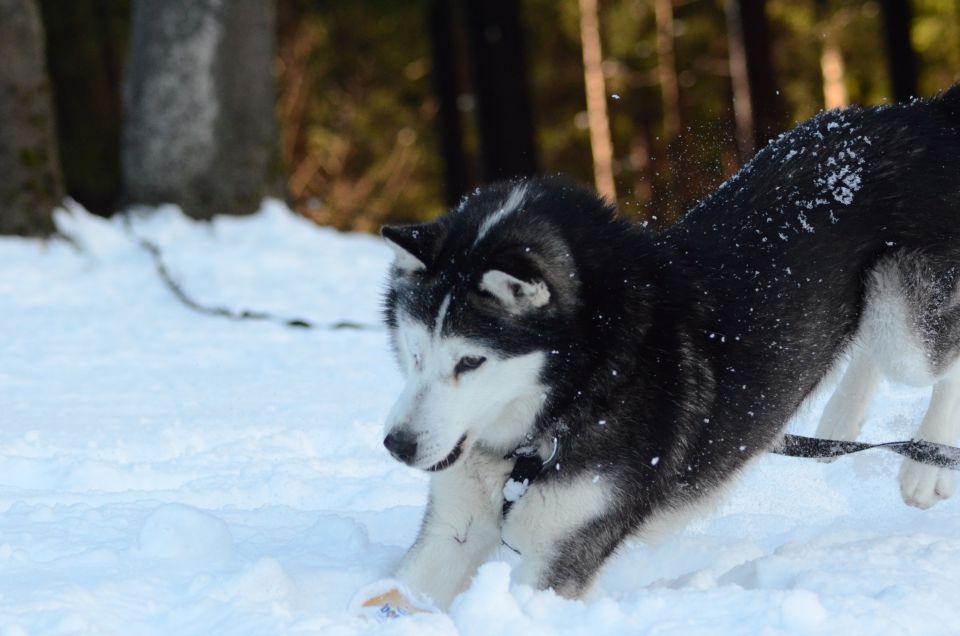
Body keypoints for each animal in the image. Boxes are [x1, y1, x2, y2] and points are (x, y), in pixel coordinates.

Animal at [376, 87, 960, 608]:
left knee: (938, 358)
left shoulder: (564, 547)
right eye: (414, 353)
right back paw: (840, 421)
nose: (397, 445)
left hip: (907, 328)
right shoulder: (453, 524)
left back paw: (924, 464)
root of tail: (918, 114)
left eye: (471, 361)